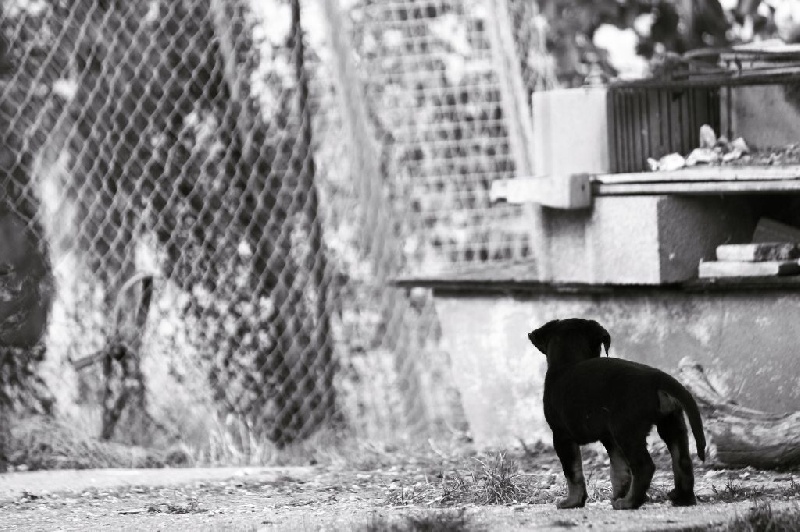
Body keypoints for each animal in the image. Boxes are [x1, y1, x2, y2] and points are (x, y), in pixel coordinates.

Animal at [532, 318, 708, 510]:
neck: (567, 361)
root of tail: (656, 378)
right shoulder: (610, 439)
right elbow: (619, 471)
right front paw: (616, 495)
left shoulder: (562, 436)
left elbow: (572, 472)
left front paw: (572, 501)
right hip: (671, 424)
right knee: (682, 460)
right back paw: (683, 498)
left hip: (627, 431)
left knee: (644, 466)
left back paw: (629, 502)